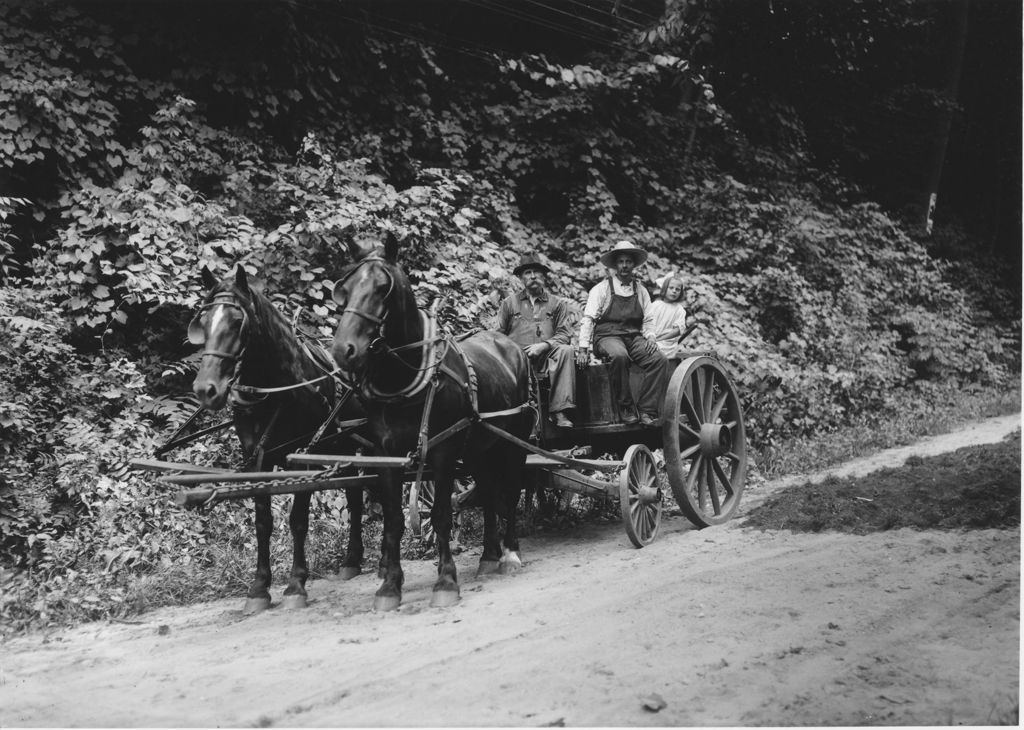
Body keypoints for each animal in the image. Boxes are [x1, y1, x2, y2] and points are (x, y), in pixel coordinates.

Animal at [190, 264, 370, 610]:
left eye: (237, 321)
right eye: (203, 322)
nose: (206, 389)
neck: (278, 388)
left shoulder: (303, 456)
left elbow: (298, 519)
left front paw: (296, 584)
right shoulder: (256, 459)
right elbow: (262, 522)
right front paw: (259, 587)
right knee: (355, 494)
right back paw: (351, 560)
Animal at [331, 237, 532, 610]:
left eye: (382, 288)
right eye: (345, 289)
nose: (342, 350)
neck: (403, 378)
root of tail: (511, 346)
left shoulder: (443, 451)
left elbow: (440, 514)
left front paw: (446, 581)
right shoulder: (386, 455)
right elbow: (394, 520)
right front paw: (389, 586)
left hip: (514, 440)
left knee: (510, 491)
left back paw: (510, 553)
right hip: (479, 448)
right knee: (488, 491)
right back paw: (488, 555)